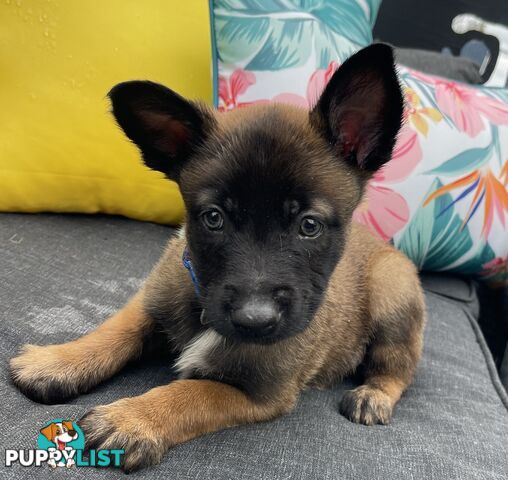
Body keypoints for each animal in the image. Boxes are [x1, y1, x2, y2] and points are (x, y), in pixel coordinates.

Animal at [10, 45, 424, 472]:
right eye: (214, 218)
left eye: (309, 225)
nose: (255, 319)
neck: (204, 310)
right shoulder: (153, 298)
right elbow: (116, 329)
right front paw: (59, 361)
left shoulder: (260, 394)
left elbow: (191, 393)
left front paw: (133, 418)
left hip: (391, 295)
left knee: (398, 367)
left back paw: (374, 395)